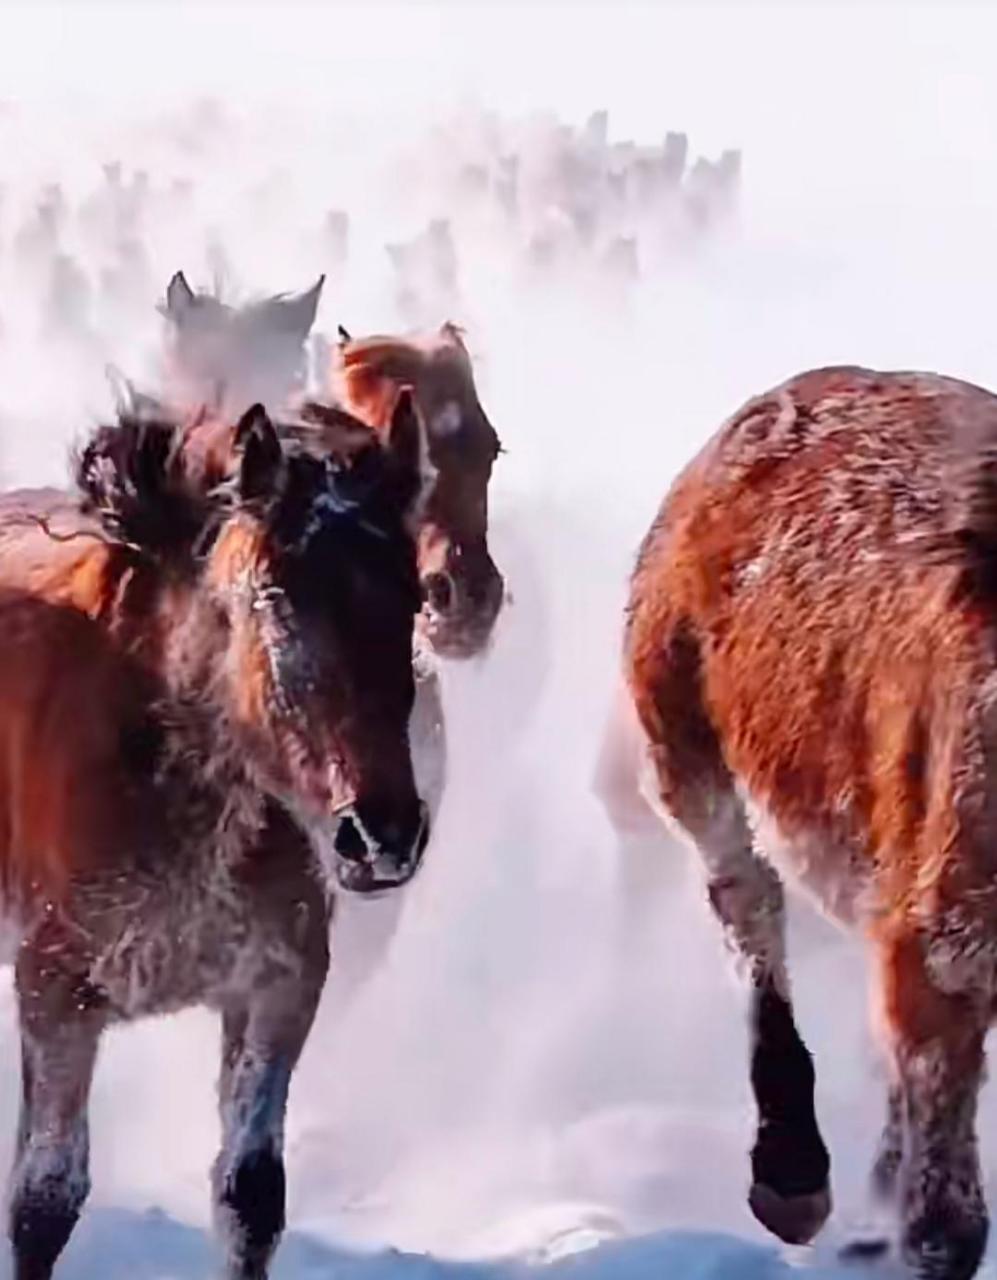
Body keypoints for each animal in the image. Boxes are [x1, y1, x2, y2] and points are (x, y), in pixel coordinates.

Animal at [0, 390, 431, 1279]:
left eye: (411, 596)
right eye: (273, 596)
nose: (380, 835)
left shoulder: (276, 991)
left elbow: (249, 1196)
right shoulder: (57, 994)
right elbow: (43, 1199)